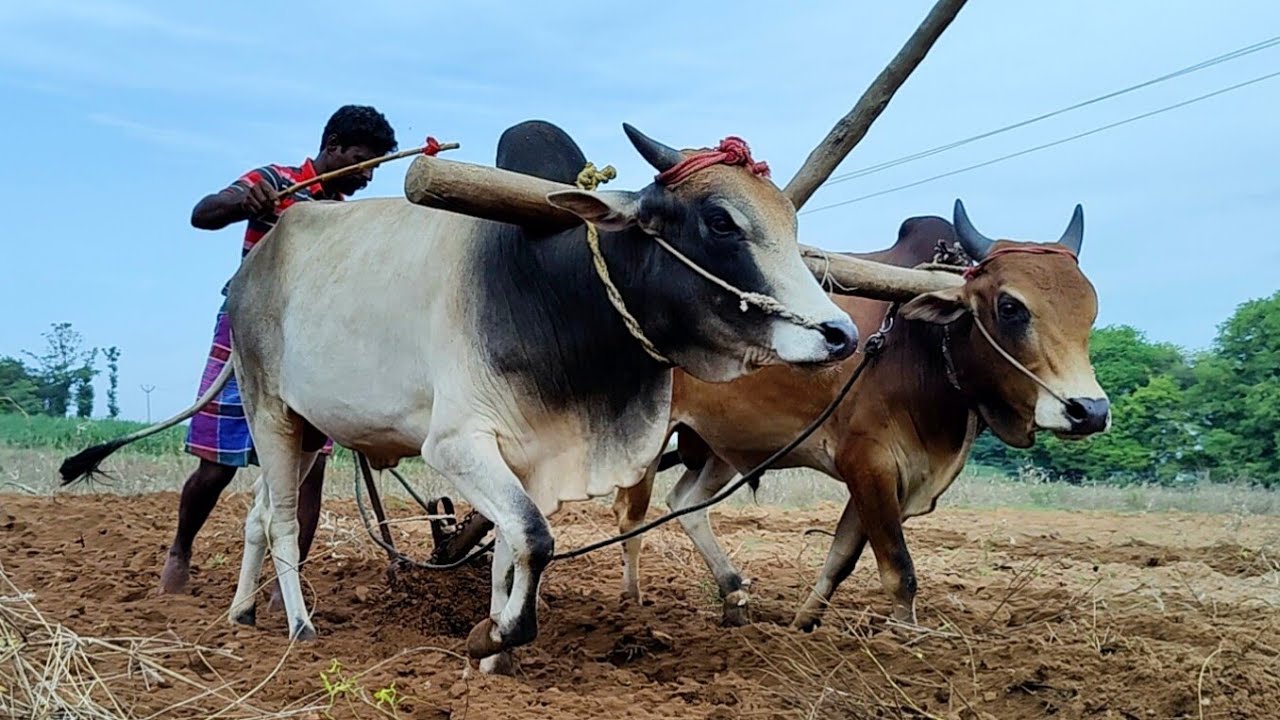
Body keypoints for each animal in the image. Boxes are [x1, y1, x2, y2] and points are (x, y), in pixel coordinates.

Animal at [59, 119, 861, 673]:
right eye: (721, 221)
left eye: (791, 223)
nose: (841, 333)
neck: (550, 290)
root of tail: (251, 268)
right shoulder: (456, 445)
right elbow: (534, 537)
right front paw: (495, 635)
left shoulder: (530, 456)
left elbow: (512, 550)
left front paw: (494, 658)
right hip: (264, 409)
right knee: (284, 523)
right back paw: (298, 628)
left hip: (303, 428)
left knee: (259, 517)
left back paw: (241, 614)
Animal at [611, 200, 1111, 631]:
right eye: (1010, 307)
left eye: (1090, 310)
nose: (1090, 411)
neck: (923, 348)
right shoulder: (869, 463)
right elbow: (899, 570)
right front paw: (906, 641)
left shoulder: (888, 479)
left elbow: (840, 560)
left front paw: (802, 626)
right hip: (652, 441)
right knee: (631, 519)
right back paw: (632, 604)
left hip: (725, 446)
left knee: (686, 503)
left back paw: (734, 596)